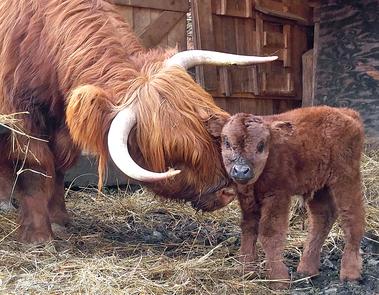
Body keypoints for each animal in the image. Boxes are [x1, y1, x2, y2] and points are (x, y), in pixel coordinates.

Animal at [0, 0, 280, 243]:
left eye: (214, 131)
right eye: (173, 156)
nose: (227, 193)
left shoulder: (64, 127)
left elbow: (59, 166)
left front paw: (60, 221)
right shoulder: (20, 117)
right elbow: (35, 167)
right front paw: (38, 236)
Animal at [208, 106, 368, 286]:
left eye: (261, 145)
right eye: (227, 142)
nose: (241, 170)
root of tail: (347, 113)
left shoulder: (277, 196)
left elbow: (270, 234)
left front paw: (278, 279)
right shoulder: (246, 198)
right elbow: (248, 228)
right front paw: (246, 270)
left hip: (346, 177)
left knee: (352, 217)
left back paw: (350, 273)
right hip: (320, 186)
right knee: (323, 217)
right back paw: (307, 269)